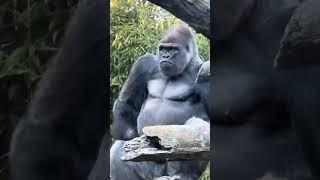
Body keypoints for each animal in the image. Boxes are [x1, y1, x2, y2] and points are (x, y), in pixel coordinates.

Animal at [110, 24, 210, 180]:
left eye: (173, 49)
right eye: (163, 49)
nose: (165, 56)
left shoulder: (204, 70)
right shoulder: (144, 64)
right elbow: (126, 102)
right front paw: (131, 137)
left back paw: (183, 174)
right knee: (120, 147)